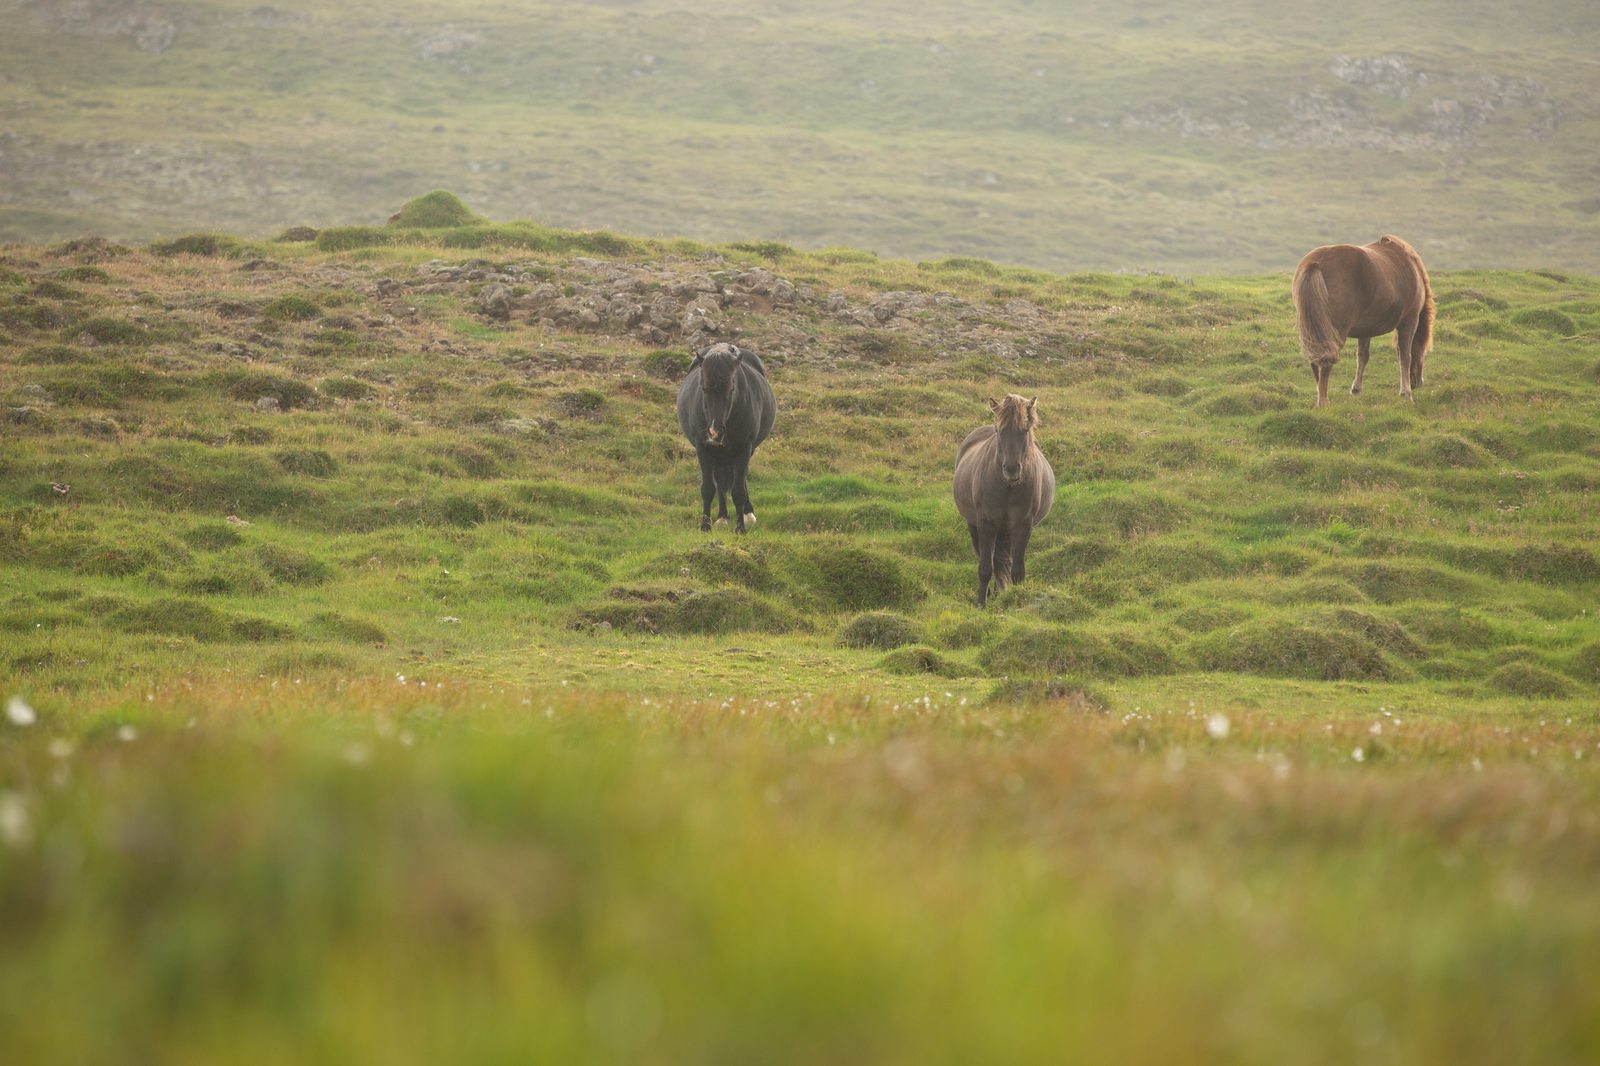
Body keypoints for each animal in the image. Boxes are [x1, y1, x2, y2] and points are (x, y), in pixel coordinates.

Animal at [675, 342, 776, 534]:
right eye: (704, 389)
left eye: (731, 389)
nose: (715, 432)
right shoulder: (703, 448)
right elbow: (708, 488)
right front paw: (705, 526)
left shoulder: (744, 448)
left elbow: (738, 491)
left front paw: (741, 528)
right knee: (721, 482)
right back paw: (722, 517)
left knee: (740, 481)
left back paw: (747, 514)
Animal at [953, 394, 1055, 607]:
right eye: (999, 431)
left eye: (1025, 430)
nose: (1011, 469)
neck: (1007, 488)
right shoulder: (985, 524)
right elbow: (985, 568)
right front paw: (981, 604)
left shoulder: (1023, 526)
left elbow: (1017, 571)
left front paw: (1015, 600)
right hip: (974, 525)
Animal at [1292, 234, 1435, 408]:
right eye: (1424, 351)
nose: (1418, 383)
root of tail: (1316, 263)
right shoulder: (1409, 321)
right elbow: (1405, 356)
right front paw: (1406, 394)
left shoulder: (1366, 330)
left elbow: (1362, 357)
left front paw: (1356, 389)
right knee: (1325, 363)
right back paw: (1323, 402)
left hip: (1312, 331)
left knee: (1315, 361)